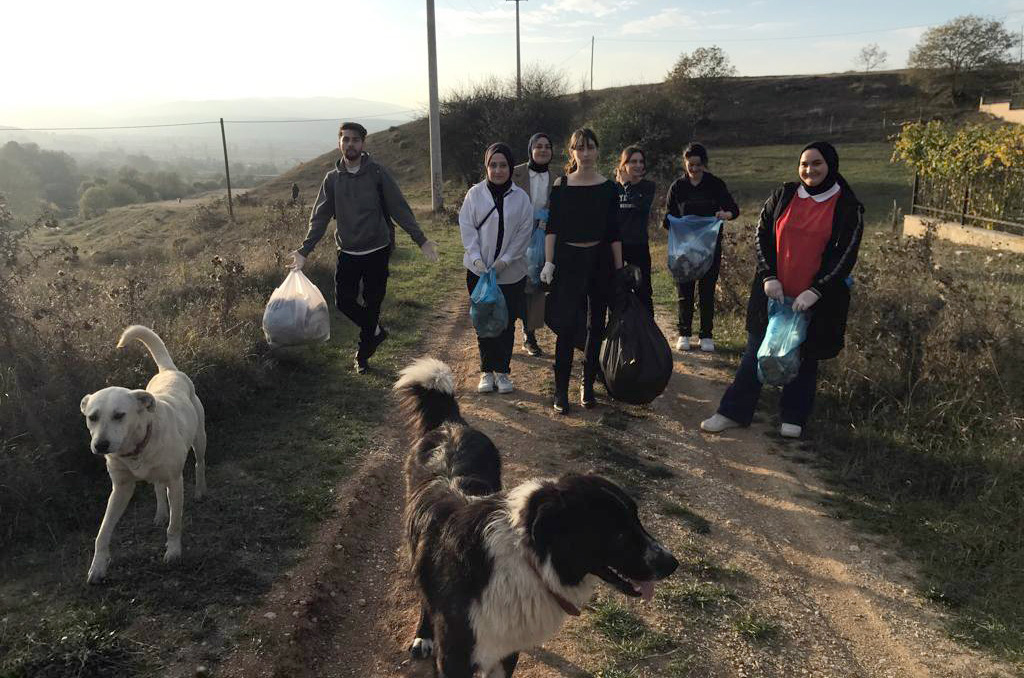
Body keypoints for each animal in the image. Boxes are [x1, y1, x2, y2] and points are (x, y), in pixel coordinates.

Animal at [80, 325, 208, 585]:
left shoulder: (176, 481)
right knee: (158, 487)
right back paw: (160, 513)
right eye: (92, 417)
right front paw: (97, 567)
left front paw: (173, 552)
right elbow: (103, 532)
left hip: (200, 438)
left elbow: (175, 525)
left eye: (119, 415)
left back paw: (200, 491)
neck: (136, 449)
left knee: (199, 464)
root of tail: (169, 371)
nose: (101, 445)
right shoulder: (121, 488)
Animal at [395, 358, 675, 675]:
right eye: (616, 531)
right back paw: (423, 635)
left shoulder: (507, 650)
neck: (527, 559)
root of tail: (451, 425)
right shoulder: (455, 657)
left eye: (636, 519)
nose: (672, 563)